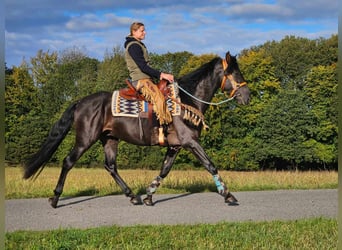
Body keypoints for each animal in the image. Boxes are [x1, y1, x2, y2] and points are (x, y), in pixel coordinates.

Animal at [23, 51, 248, 208]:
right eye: (235, 73)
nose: (247, 96)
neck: (187, 99)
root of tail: (80, 102)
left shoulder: (175, 146)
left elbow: (164, 170)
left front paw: (148, 196)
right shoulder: (190, 142)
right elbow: (211, 165)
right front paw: (228, 195)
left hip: (110, 139)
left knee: (110, 166)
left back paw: (133, 196)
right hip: (85, 139)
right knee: (68, 162)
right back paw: (55, 198)